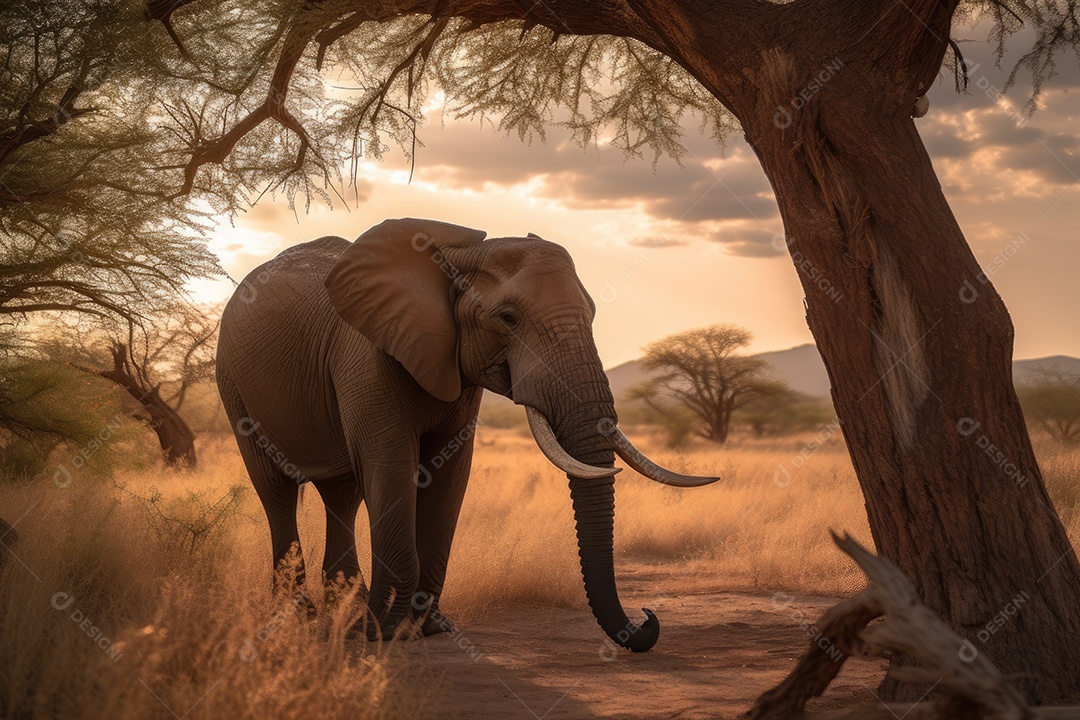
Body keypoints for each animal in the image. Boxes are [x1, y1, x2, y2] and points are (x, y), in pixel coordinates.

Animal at [216, 217, 718, 652]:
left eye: (593, 314)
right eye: (508, 318)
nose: (647, 618)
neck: (456, 254)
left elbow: (450, 473)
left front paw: (427, 628)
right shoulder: (367, 355)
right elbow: (391, 467)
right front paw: (388, 633)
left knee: (342, 493)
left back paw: (347, 616)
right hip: (232, 384)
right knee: (276, 492)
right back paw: (303, 620)